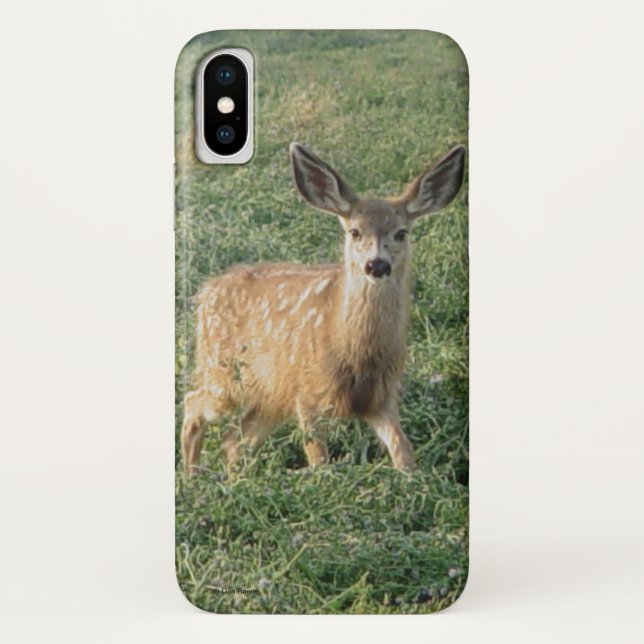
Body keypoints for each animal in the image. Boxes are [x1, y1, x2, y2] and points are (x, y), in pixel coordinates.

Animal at [181, 142, 466, 477]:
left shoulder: (381, 398)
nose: (377, 264)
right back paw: (192, 478)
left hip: (269, 395)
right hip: (224, 373)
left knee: (233, 441)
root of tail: (206, 292)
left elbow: (404, 453)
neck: (352, 350)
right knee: (193, 405)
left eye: (401, 233)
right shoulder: (307, 391)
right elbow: (319, 461)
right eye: (354, 232)